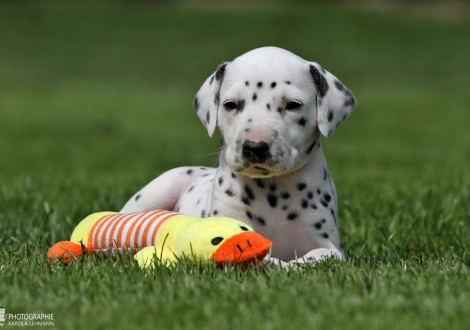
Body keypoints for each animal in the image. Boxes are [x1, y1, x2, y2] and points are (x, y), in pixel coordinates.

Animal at [119, 47, 354, 268]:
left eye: (293, 104)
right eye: (230, 104)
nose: (255, 147)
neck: (271, 191)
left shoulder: (328, 247)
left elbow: (311, 259)